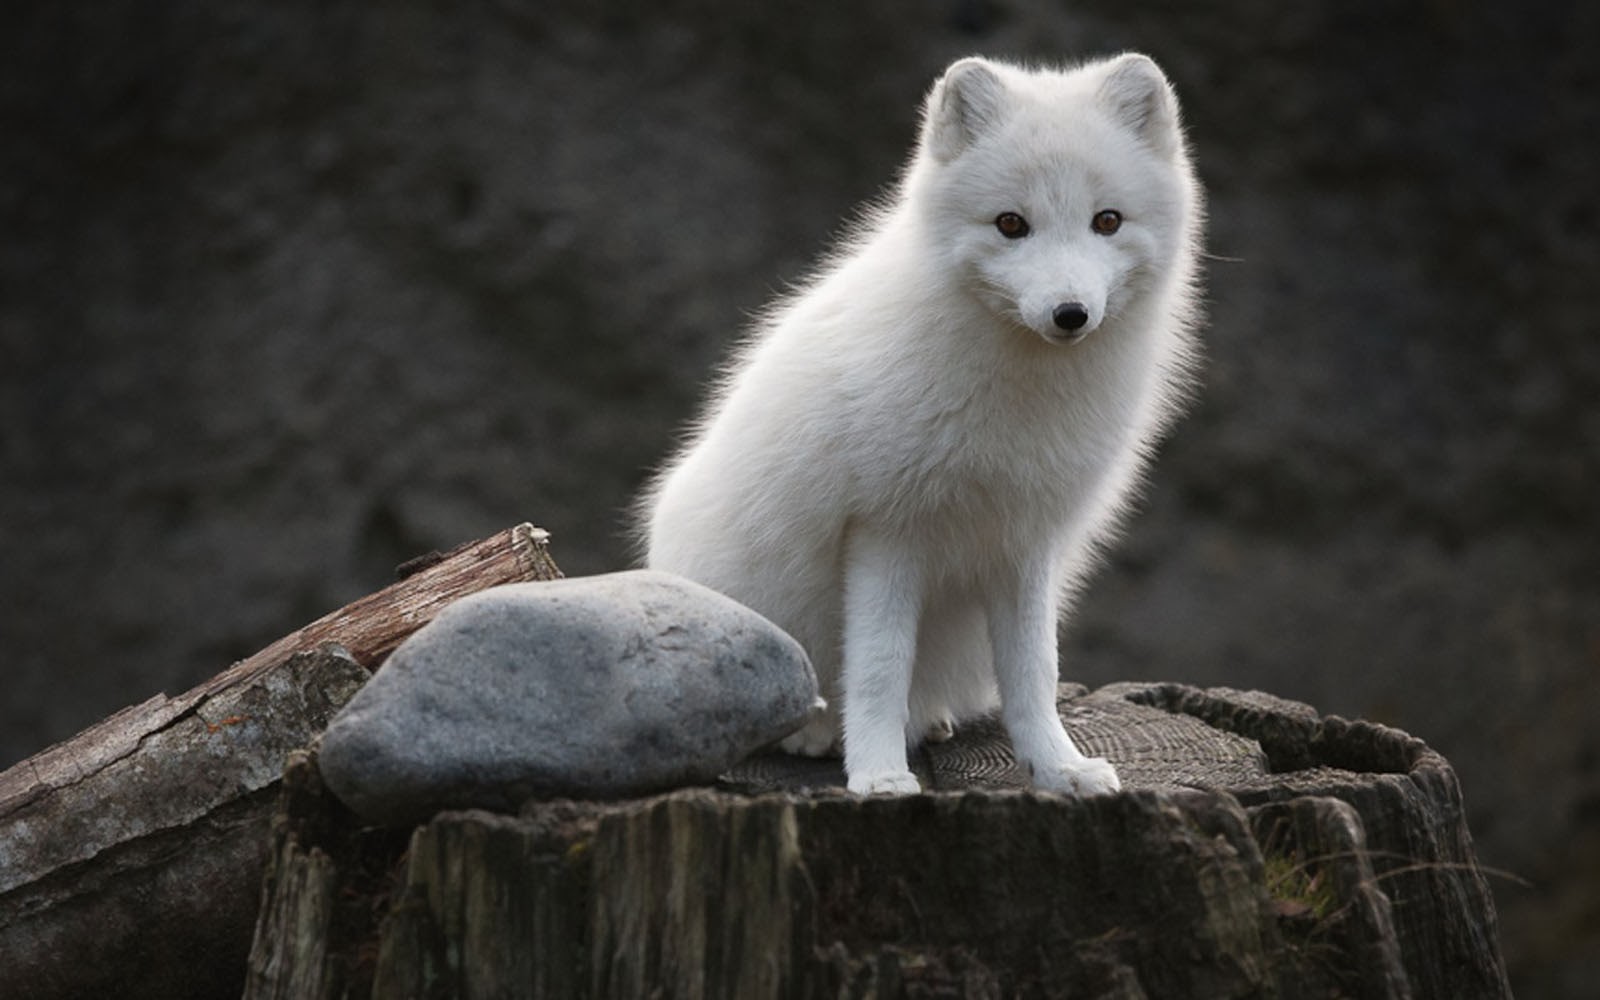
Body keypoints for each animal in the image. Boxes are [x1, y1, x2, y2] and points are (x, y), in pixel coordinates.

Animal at [636, 54, 1203, 796]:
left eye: (1107, 220)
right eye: (1010, 224)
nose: (1070, 313)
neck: (1016, 398)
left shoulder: (1024, 540)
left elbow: (1035, 671)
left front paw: (1058, 768)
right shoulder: (884, 530)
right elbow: (879, 667)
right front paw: (878, 774)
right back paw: (821, 732)